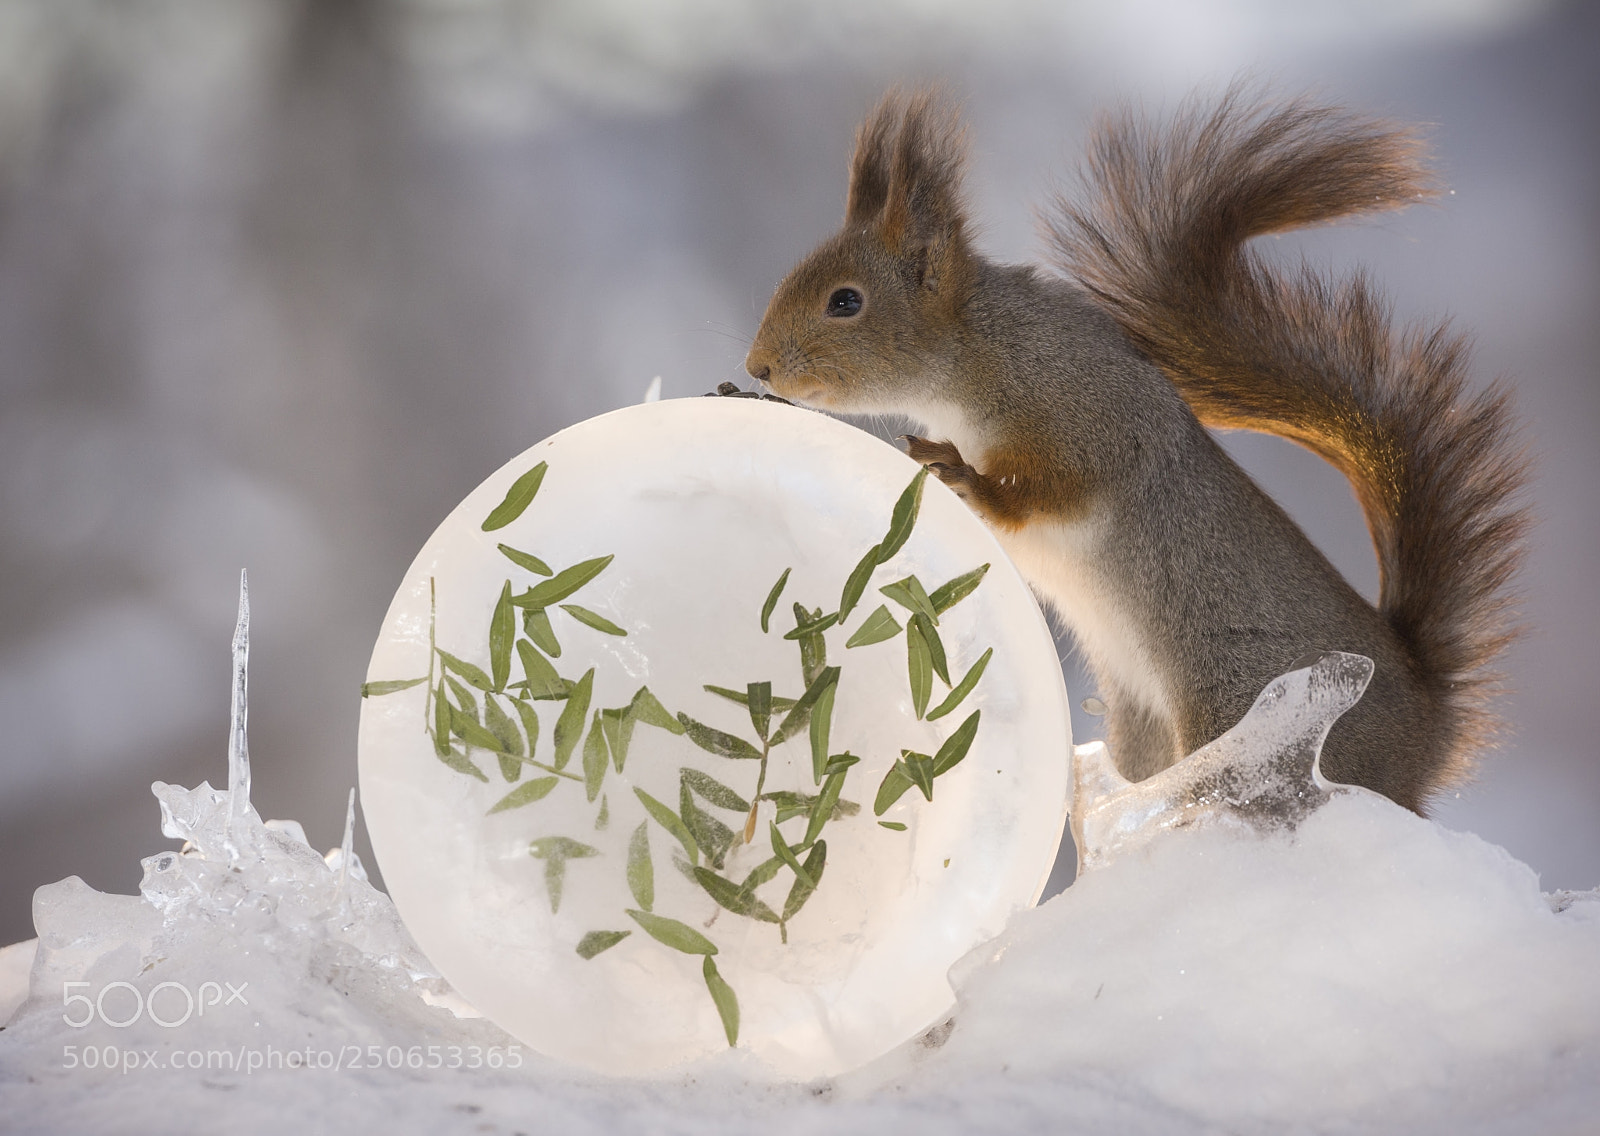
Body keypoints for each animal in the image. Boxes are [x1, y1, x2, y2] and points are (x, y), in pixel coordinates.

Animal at [742, 86, 1528, 813]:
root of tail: (1425, 732)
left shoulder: (1093, 419)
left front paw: (960, 473)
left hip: (1243, 707)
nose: (758, 369)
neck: (981, 351)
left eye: (846, 302)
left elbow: (1053, 490)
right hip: (1144, 723)